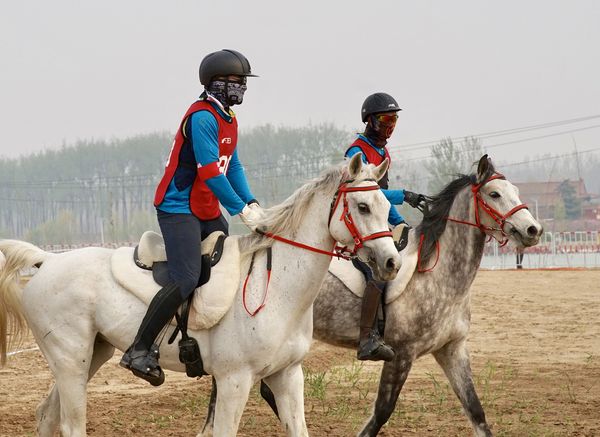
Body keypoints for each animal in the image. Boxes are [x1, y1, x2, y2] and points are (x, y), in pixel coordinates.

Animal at [1, 153, 404, 436]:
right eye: (362, 207)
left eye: (387, 207)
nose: (392, 262)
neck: (277, 287)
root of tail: (48, 260)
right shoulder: (233, 381)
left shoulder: (287, 376)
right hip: (71, 360)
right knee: (70, 424)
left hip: (89, 356)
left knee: (46, 416)